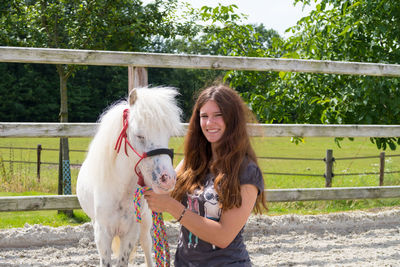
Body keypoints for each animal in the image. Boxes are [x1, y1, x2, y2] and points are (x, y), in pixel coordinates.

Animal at [77, 87, 183, 266]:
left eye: (167, 135)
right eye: (139, 135)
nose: (167, 179)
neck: (121, 191)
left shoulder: (131, 232)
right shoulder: (102, 234)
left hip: (146, 221)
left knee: (147, 244)